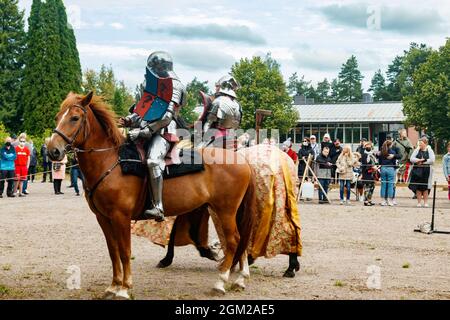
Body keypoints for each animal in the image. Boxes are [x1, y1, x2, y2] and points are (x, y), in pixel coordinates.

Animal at [48, 91, 256, 298]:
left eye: (75, 118)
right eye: (57, 117)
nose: (53, 151)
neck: (110, 161)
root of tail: (242, 160)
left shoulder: (121, 217)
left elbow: (124, 251)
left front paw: (124, 288)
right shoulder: (103, 218)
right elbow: (113, 251)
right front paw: (113, 286)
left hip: (225, 211)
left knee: (233, 241)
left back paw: (220, 283)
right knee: (240, 242)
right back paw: (239, 279)